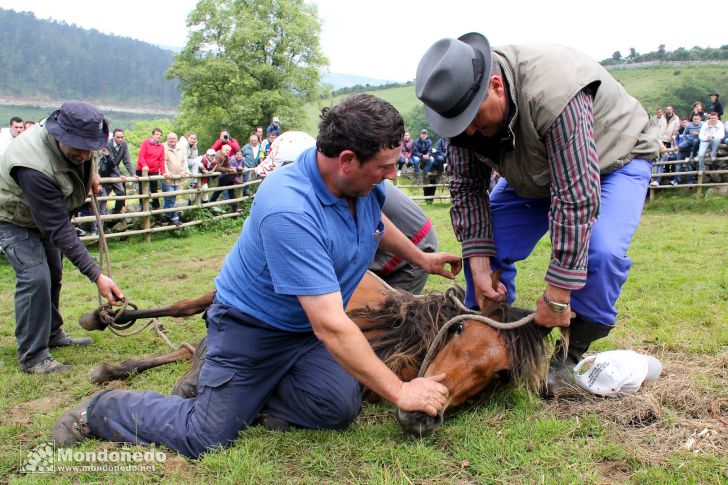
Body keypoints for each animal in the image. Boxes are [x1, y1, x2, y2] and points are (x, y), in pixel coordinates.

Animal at [84, 270, 552, 432]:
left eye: (499, 375)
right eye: (457, 330)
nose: (420, 417)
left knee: (185, 346)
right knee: (187, 310)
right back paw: (105, 319)